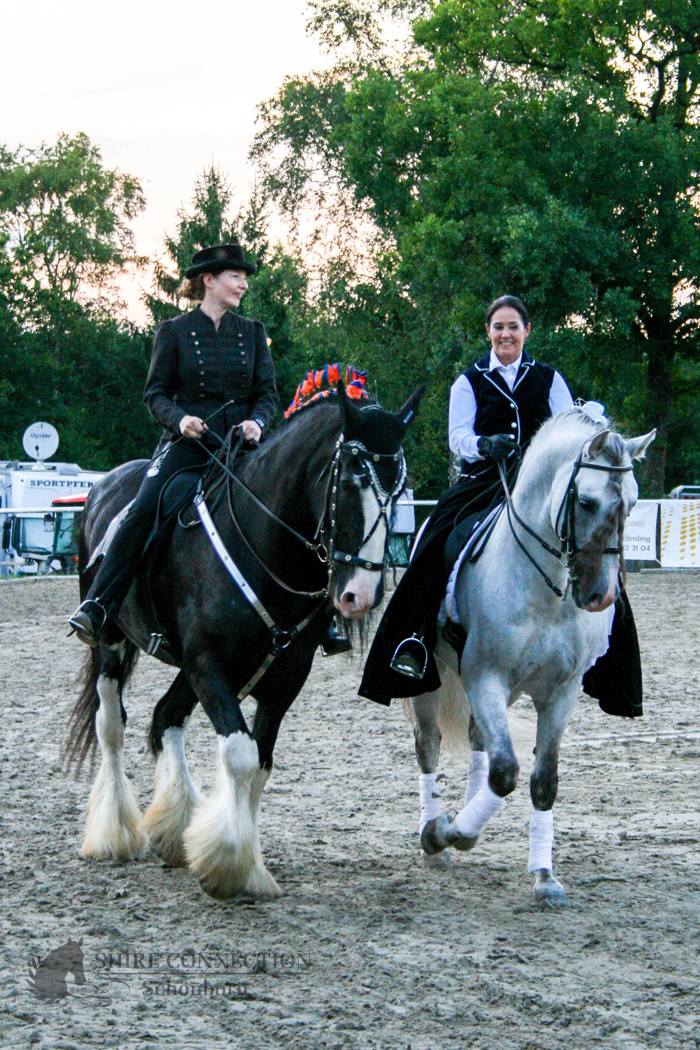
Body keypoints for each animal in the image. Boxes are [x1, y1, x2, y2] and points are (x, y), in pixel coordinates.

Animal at [64, 386, 421, 902]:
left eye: (400, 489)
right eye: (352, 479)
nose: (360, 594)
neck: (263, 541)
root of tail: (102, 489)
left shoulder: (284, 677)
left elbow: (261, 765)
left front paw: (244, 864)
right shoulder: (208, 664)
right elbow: (240, 755)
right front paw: (229, 865)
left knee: (166, 717)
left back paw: (175, 829)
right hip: (111, 644)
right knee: (111, 725)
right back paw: (114, 835)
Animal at [411, 405, 659, 907]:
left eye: (633, 504)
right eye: (587, 502)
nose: (601, 596)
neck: (546, 591)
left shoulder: (560, 694)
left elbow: (542, 781)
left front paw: (544, 876)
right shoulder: (486, 677)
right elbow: (506, 774)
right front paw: (446, 833)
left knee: (478, 740)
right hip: (435, 676)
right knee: (429, 744)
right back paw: (435, 838)